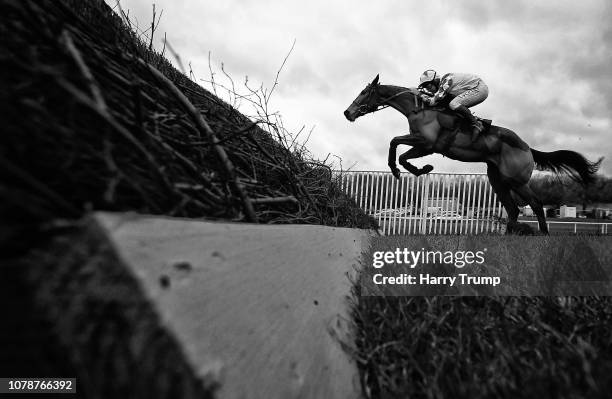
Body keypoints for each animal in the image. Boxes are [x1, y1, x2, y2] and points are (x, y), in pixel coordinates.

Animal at [344, 75, 604, 234]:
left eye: (364, 92)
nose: (348, 112)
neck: (420, 108)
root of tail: (527, 147)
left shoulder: (428, 143)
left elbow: (395, 144)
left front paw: (404, 170)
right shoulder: (423, 145)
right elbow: (400, 152)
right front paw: (419, 169)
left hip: (516, 180)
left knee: (537, 204)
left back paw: (543, 235)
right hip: (497, 180)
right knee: (513, 210)